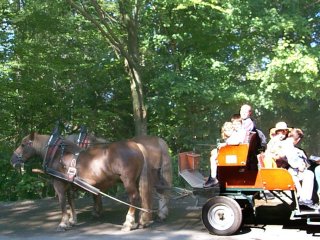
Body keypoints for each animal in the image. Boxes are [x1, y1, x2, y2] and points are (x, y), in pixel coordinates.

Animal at [10, 133, 153, 231]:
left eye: (23, 145)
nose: (13, 159)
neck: (58, 154)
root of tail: (136, 146)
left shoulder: (59, 185)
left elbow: (63, 203)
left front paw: (63, 223)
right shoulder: (69, 184)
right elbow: (71, 202)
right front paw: (72, 220)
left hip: (128, 180)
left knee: (134, 197)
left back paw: (128, 223)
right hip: (137, 180)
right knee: (141, 197)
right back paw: (142, 220)